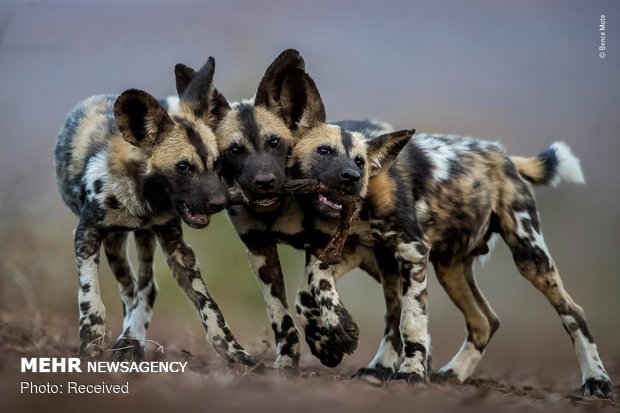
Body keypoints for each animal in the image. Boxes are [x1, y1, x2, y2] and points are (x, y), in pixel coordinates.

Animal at [53, 58, 256, 366]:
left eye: (217, 163)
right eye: (183, 167)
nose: (220, 203)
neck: (143, 199)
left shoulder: (176, 246)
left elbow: (209, 307)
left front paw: (237, 354)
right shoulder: (86, 235)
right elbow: (91, 299)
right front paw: (90, 346)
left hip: (143, 237)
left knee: (146, 288)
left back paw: (132, 339)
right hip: (115, 242)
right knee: (129, 290)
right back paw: (127, 338)